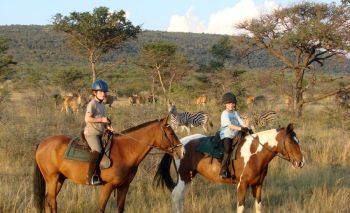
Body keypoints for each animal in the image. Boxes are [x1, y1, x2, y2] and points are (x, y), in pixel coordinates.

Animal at [33, 117, 185, 212]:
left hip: (59, 179)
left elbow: (120, 209)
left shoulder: (124, 186)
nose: (182, 151)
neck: (125, 151)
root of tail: (42, 143)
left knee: (49, 202)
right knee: (52, 203)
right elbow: (101, 208)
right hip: (52, 179)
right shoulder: (108, 186)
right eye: (171, 133)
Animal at [153, 124, 304, 212]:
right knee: (176, 196)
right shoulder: (242, 185)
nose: (301, 162)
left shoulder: (258, 185)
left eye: (298, 141)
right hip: (184, 177)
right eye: (291, 142)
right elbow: (241, 207)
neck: (255, 153)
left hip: (188, 178)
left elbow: (258, 207)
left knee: (180, 197)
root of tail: (178, 146)